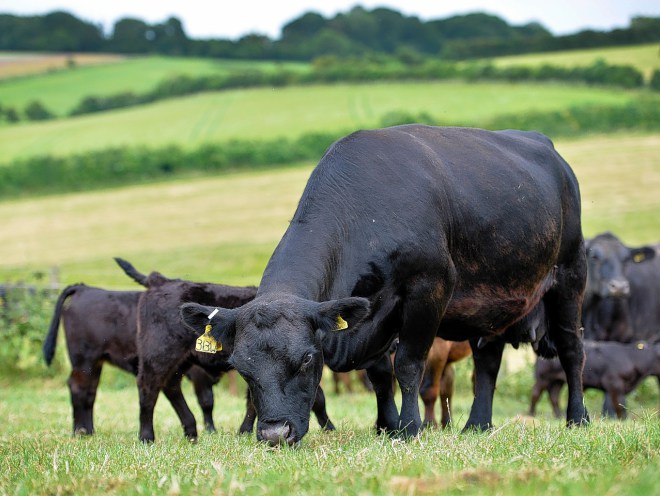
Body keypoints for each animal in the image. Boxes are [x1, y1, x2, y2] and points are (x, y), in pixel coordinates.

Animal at [42, 283, 220, 436]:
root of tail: (84, 288)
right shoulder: (198, 373)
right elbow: (206, 400)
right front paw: (211, 431)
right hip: (84, 358)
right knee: (78, 388)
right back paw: (80, 432)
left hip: (95, 363)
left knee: (90, 391)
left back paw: (89, 431)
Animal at [113, 259, 336, 443]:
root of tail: (160, 280)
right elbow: (317, 398)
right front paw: (330, 428)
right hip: (158, 353)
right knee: (148, 387)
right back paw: (147, 437)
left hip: (180, 360)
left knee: (170, 385)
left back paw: (191, 432)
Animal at [181, 125, 590, 446]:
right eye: (241, 367)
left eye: (308, 358)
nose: (273, 433)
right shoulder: (372, 315)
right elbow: (380, 375)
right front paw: (386, 426)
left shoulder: (428, 289)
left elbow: (408, 365)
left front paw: (409, 428)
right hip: (491, 303)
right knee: (487, 362)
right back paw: (477, 425)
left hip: (570, 277)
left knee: (572, 350)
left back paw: (578, 417)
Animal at [529, 340, 660, 419]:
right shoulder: (614, 383)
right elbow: (619, 404)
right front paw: (622, 420)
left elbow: (621, 403)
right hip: (543, 377)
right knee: (536, 393)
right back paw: (532, 414)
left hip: (557, 381)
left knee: (554, 396)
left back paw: (559, 415)